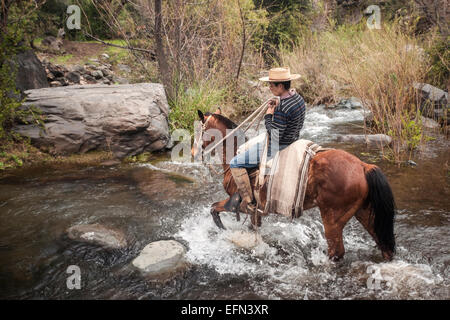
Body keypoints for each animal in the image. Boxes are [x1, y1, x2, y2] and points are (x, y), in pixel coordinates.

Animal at [192, 109, 396, 262]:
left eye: (198, 131)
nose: (193, 152)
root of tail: (363, 166)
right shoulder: (255, 211)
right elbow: (253, 228)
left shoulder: (238, 204)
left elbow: (214, 209)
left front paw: (224, 232)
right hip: (364, 213)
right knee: (384, 246)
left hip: (333, 218)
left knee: (337, 252)